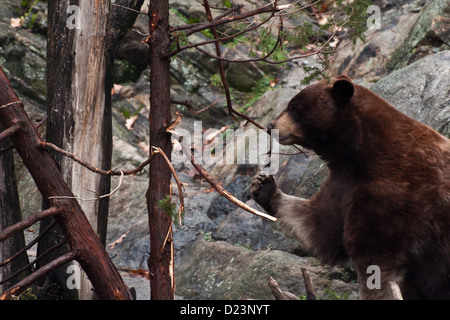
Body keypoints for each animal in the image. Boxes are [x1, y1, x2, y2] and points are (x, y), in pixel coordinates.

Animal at [251, 74, 450, 300]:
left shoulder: (394, 195)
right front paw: (264, 187)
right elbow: (320, 224)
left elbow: (375, 259)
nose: (270, 125)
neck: (360, 152)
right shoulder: (344, 184)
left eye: (294, 107)